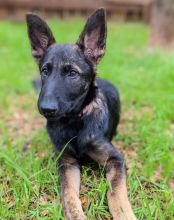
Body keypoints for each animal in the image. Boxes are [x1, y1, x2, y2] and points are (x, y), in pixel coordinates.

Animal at [26, 8, 137, 220]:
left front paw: (124, 213)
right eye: (45, 71)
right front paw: (76, 214)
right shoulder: (66, 162)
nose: (46, 108)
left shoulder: (115, 159)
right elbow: (68, 194)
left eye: (72, 73)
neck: (75, 122)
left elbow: (116, 192)